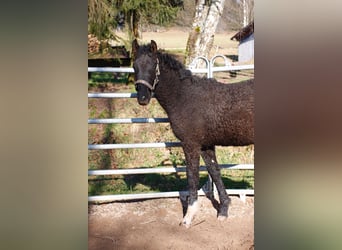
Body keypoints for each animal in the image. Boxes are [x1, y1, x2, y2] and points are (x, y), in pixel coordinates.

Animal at [132, 40, 254, 228]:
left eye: (153, 65)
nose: (143, 98)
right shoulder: (205, 145)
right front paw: (224, 210)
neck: (184, 96)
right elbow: (214, 172)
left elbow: (192, 176)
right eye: (134, 66)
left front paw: (189, 216)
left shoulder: (190, 144)